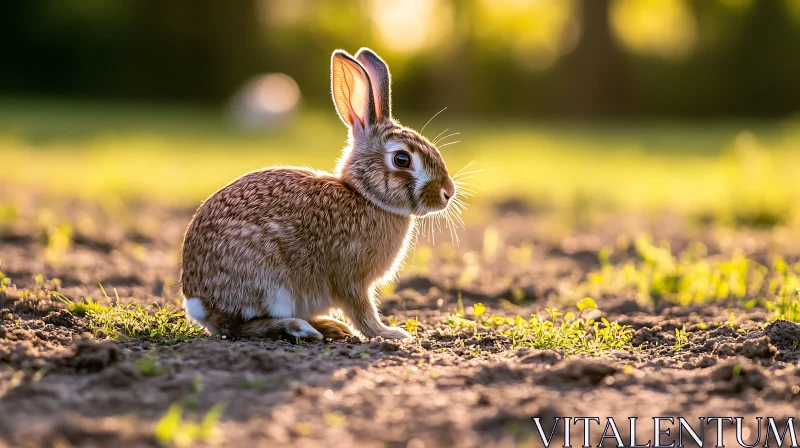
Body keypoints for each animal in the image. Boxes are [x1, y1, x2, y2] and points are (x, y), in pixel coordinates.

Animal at [181, 48, 456, 340]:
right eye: (402, 159)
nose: (448, 192)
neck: (365, 197)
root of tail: (197, 301)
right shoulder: (351, 279)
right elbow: (363, 312)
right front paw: (391, 333)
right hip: (268, 282)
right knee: (236, 327)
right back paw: (299, 327)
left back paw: (330, 326)